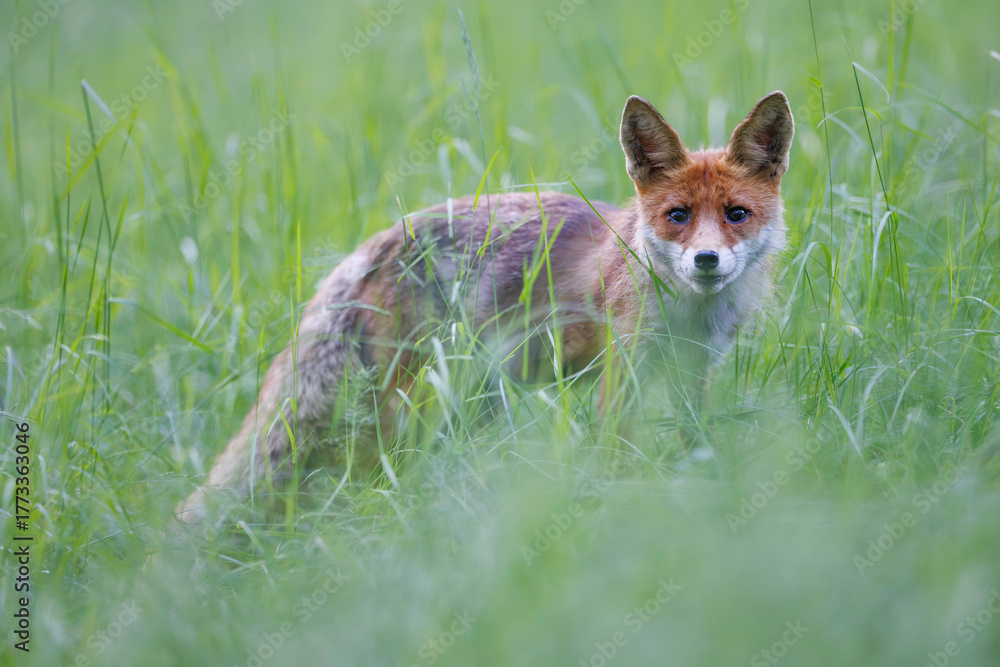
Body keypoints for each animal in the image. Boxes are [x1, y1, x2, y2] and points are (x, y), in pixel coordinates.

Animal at [176, 91, 794, 525]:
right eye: (677, 216)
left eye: (737, 214)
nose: (707, 261)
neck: (690, 312)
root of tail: (373, 245)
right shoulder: (623, 373)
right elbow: (619, 454)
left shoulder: (694, 373)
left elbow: (698, 445)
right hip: (413, 406)